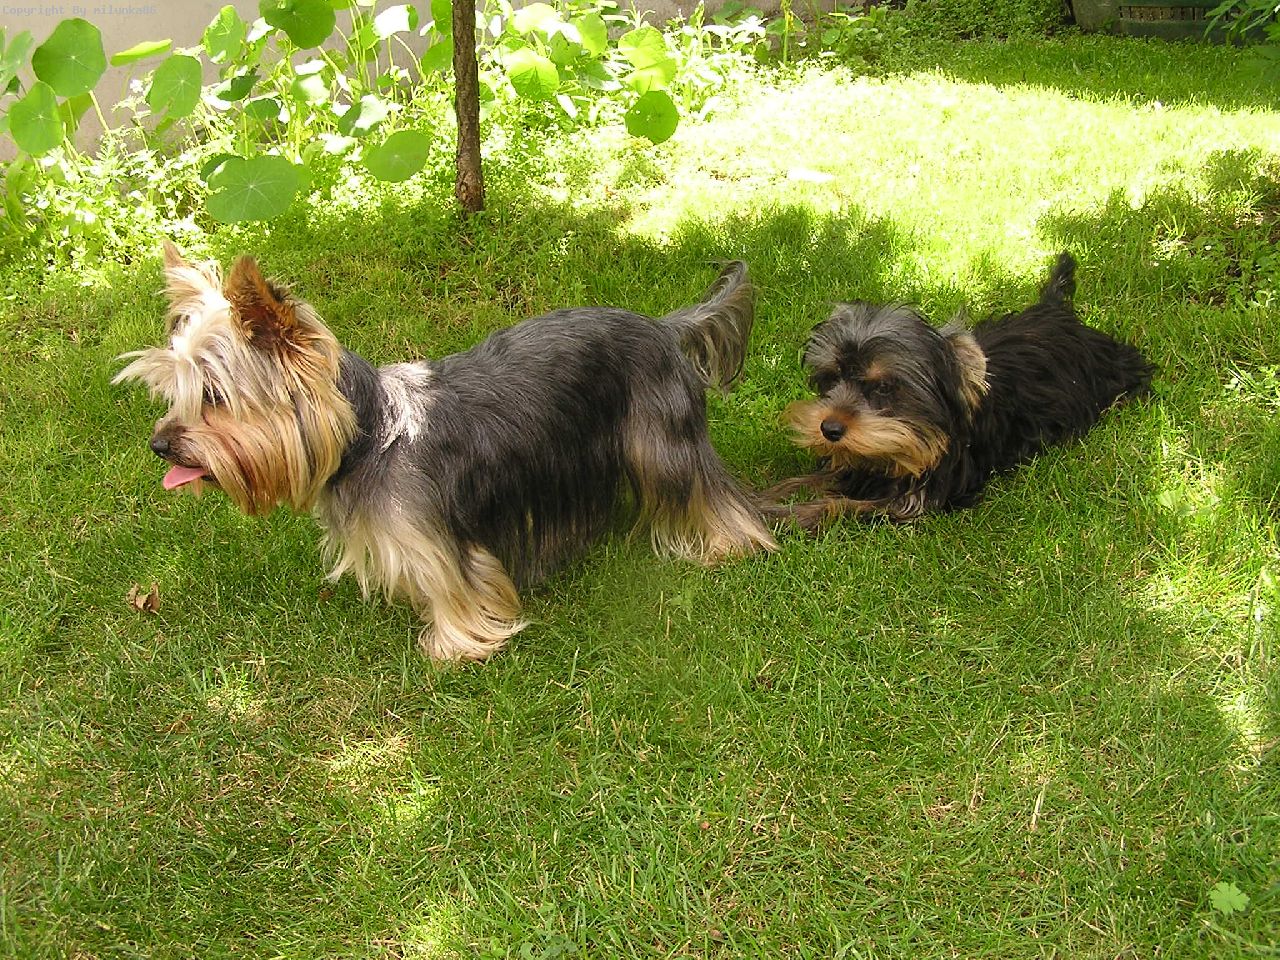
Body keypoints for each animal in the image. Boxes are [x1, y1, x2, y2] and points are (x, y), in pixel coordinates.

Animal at [115, 244, 775, 661]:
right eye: (172, 391)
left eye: (215, 396)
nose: (158, 445)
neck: (366, 438)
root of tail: (663, 328)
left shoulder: (435, 542)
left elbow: (455, 587)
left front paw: (455, 645)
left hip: (662, 441)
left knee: (709, 492)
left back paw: (728, 543)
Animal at [765, 252, 1154, 528]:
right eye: (830, 379)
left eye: (886, 387)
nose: (829, 429)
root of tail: (1056, 311)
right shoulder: (861, 460)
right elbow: (813, 478)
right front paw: (770, 495)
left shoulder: (916, 499)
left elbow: (839, 506)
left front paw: (784, 516)